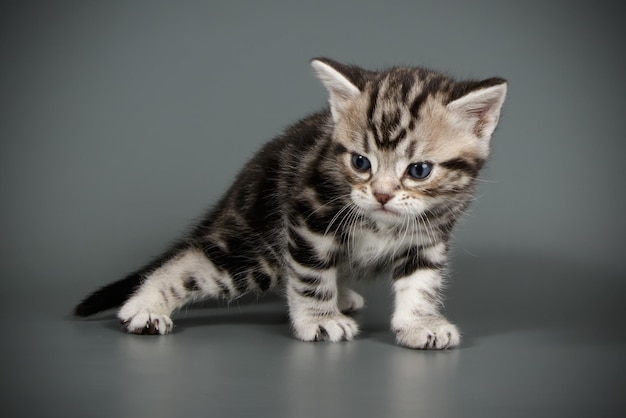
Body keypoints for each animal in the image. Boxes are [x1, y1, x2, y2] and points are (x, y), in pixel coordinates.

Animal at [73, 58, 504, 350]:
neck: (382, 221)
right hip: (258, 249)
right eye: (360, 162)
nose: (381, 194)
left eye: (419, 170)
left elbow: (422, 281)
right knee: (191, 263)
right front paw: (319, 319)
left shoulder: (429, 235)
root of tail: (244, 180)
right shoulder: (309, 218)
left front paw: (420, 324)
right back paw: (146, 306)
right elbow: (311, 276)